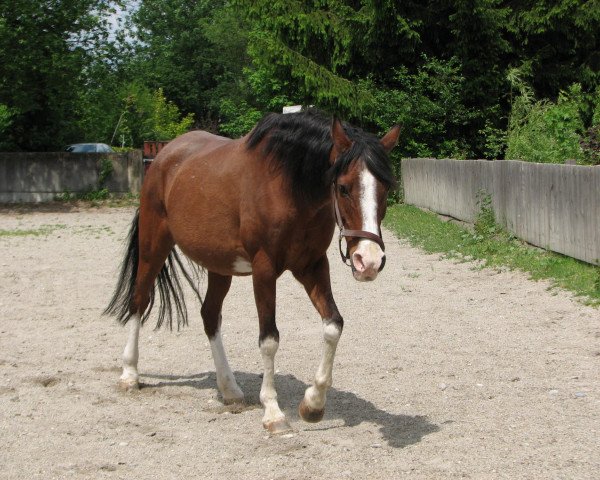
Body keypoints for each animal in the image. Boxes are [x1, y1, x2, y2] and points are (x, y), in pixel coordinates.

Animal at [105, 110, 400, 434]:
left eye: (386, 188)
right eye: (344, 187)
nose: (368, 261)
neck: (289, 185)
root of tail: (164, 155)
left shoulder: (312, 266)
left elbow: (334, 325)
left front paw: (313, 404)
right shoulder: (264, 269)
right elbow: (269, 339)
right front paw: (273, 412)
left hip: (219, 266)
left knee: (210, 315)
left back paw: (230, 389)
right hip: (153, 245)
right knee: (139, 300)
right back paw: (129, 373)